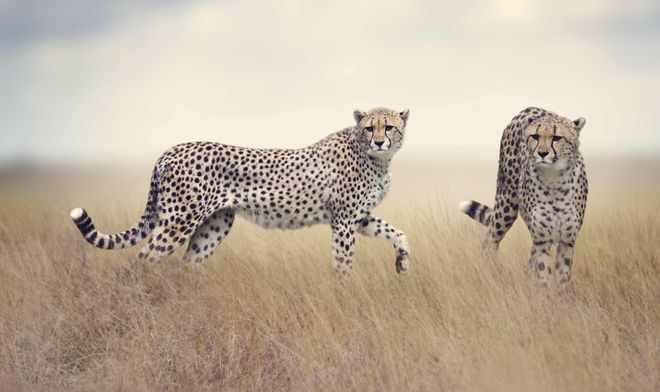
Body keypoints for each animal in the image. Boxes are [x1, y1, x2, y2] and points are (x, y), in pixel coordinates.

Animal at [72, 105, 412, 274]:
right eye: (369, 127)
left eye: (389, 127)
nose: (379, 141)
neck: (376, 159)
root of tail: (170, 150)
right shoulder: (343, 221)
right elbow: (344, 262)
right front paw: (344, 291)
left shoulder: (359, 217)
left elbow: (397, 232)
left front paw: (402, 261)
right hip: (179, 221)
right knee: (142, 260)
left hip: (216, 223)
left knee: (188, 263)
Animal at [458, 107, 588, 288]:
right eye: (535, 136)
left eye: (557, 137)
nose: (542, 153)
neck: (554, 179)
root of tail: (529, 109)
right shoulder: (542, 239)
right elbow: (543, 275)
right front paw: (544, 294)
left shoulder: (567, 241)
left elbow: (561, 278)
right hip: (506, 207)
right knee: (490, 241)